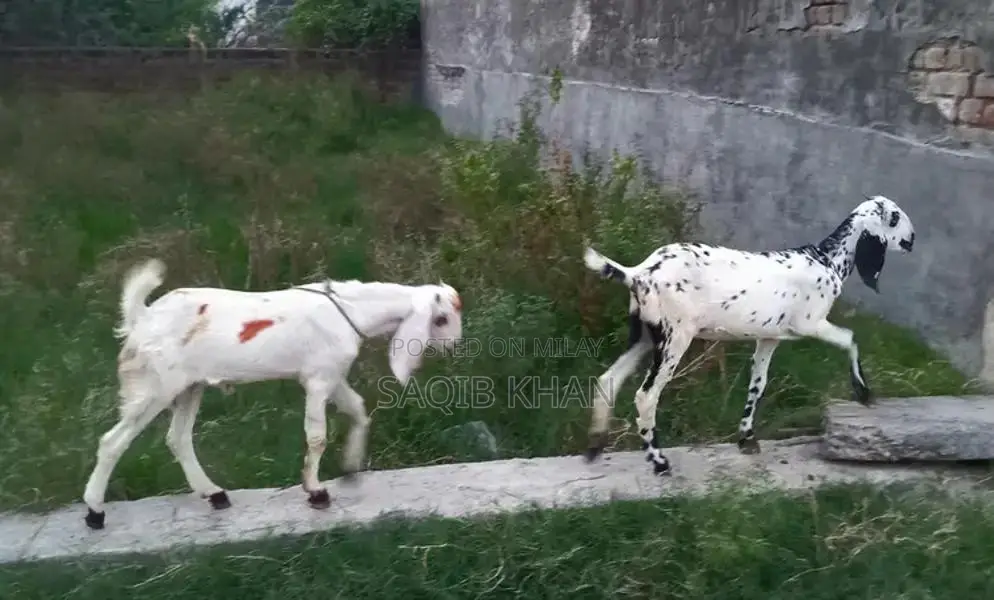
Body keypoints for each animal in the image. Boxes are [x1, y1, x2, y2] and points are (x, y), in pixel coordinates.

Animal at [82, 259, 463, 530]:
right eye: (441, 319)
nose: (455, 346)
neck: (352, 311)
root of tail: (142, 318)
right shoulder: (318, 380)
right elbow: (317, 436)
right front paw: (316, 491)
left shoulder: (332, 374)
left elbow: (357, 409)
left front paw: (352, 467)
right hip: (156, 386)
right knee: (114, 441)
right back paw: (95, 512)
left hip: (190, 387)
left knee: (178, 438)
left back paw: (215, 494)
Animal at [581, 195, 915, 475]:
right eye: (895, 217)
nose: (912, 239)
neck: (826, 259)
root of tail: (639, 273)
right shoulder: (811, 324)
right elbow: (850, 338)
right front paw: (863, 391)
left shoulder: (770, 337)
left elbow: (758, 384)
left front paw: (747, 438)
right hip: (674, 338)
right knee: (646, 396)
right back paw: (658, 461)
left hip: (645, 337)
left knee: (608, 380)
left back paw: (594, 446)